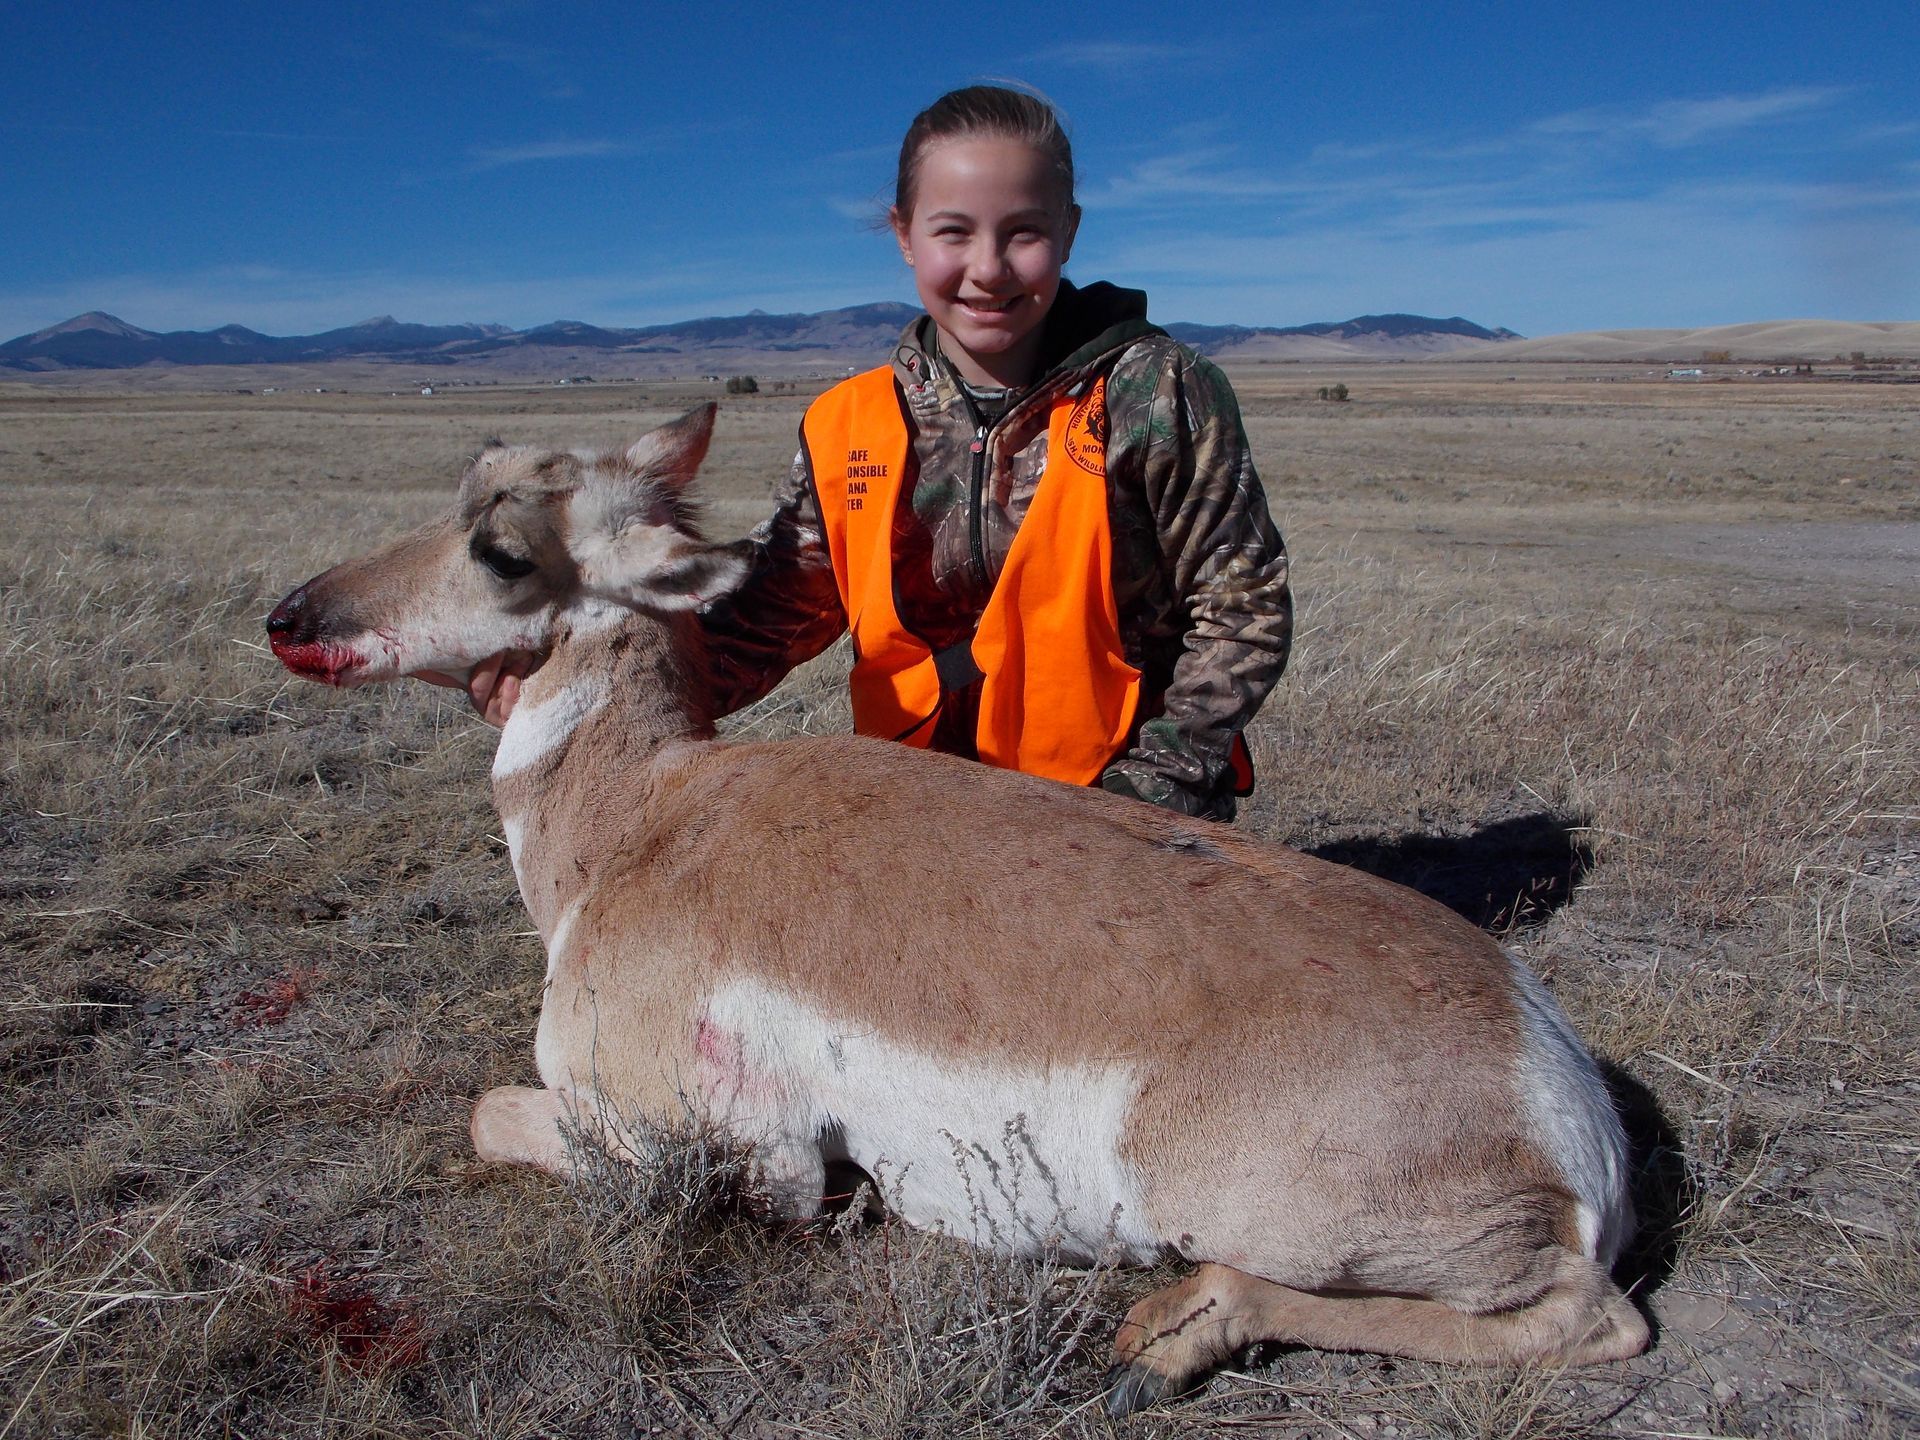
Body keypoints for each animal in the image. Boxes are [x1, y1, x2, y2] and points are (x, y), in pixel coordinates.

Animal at [266, 404, 1649, 1413]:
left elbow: (489, 1111)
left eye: (502, 549)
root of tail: (1546, 1074)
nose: (290, 616)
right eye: (473, 473)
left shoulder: (705, 1149)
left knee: (1591, 1320)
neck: (651, 814)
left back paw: (1175, 1331)